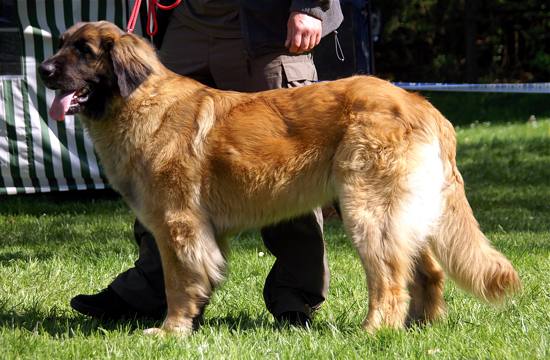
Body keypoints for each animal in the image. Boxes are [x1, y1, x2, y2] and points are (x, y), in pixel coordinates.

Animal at [40, 21, 520, 338]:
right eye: (61, 45)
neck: (139, 102)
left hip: (368, 210)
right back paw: (419, 327)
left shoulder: (178, 224)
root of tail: (422, 105)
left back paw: (373, 332)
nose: (43, 70)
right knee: (427, 271)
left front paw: (171, 330)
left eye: (85, 51)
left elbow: (179, 282)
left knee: (390, 280)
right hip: (402, 212)